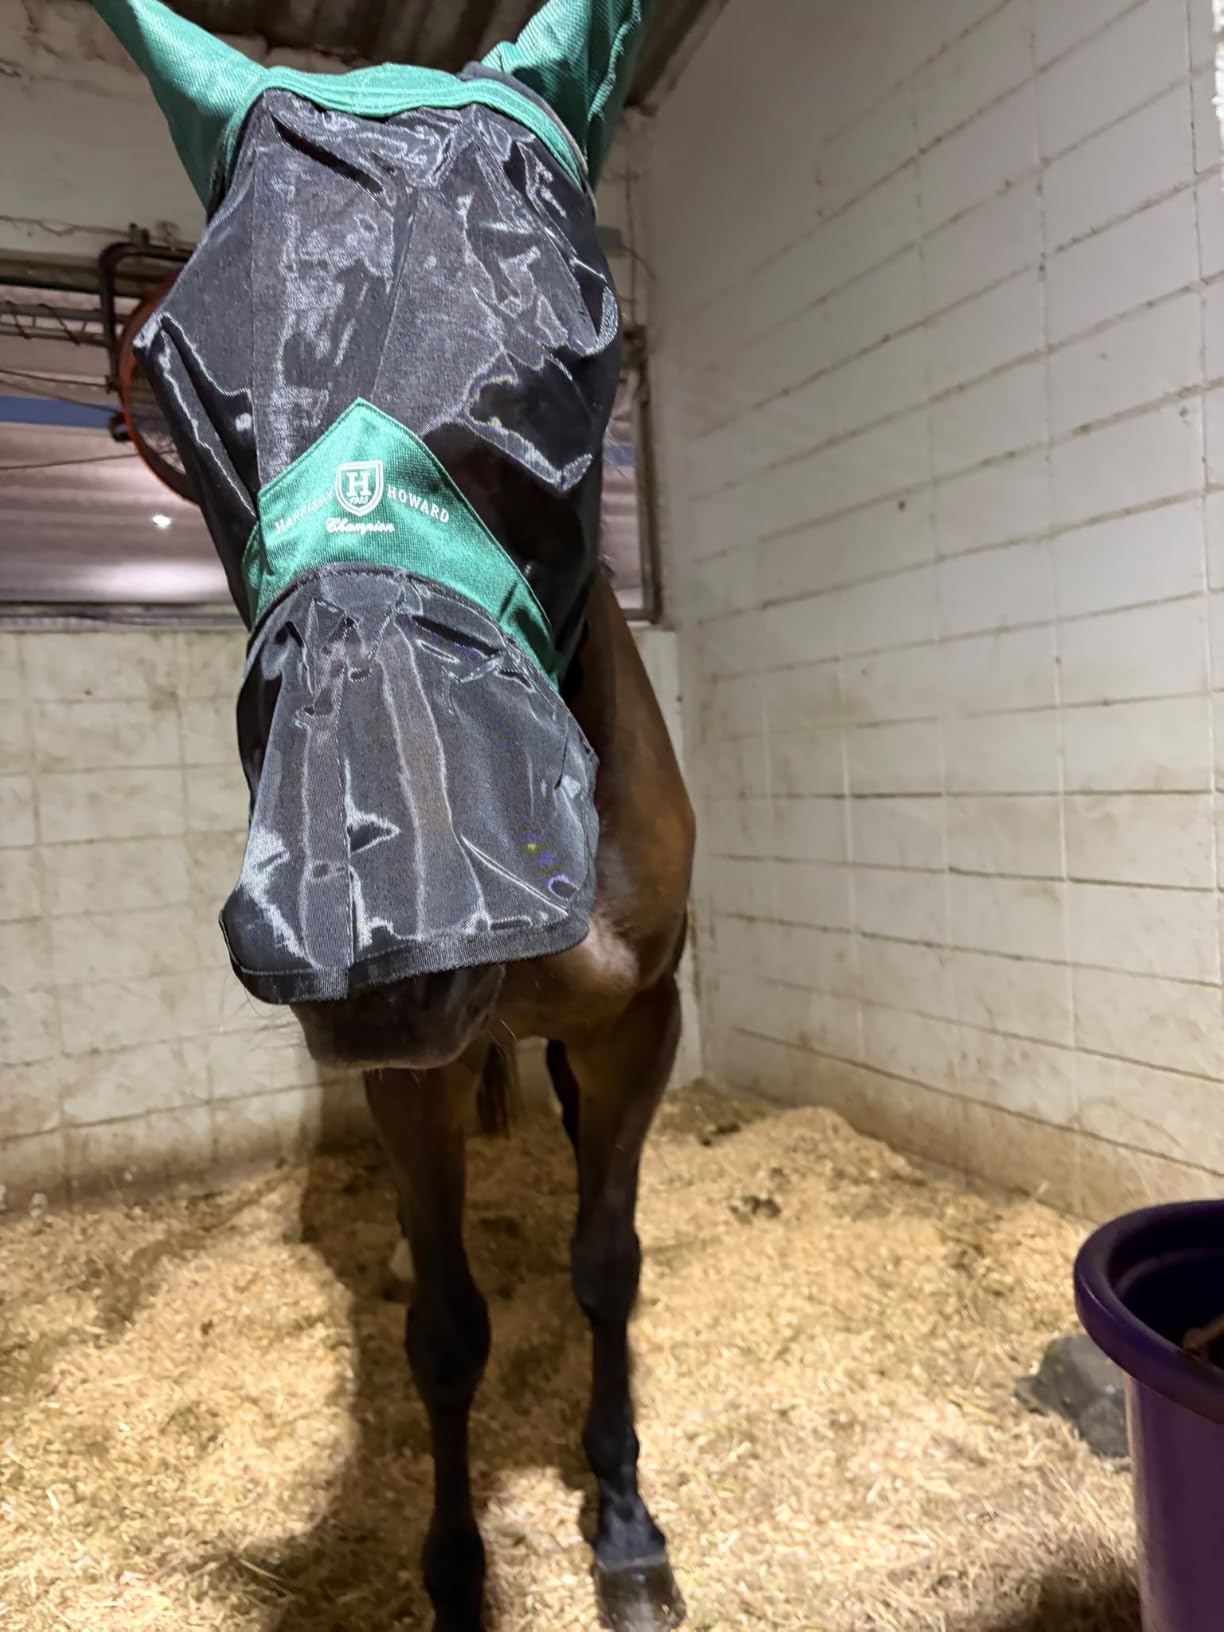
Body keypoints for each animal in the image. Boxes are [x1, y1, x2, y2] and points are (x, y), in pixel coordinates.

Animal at [292, 568, 695, 1632]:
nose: (376, 977)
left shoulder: (636, 1027)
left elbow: (606, 1266)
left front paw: (626, 1532)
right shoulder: (414, 1074)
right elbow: (445, 1335)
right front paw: (456, 1579)